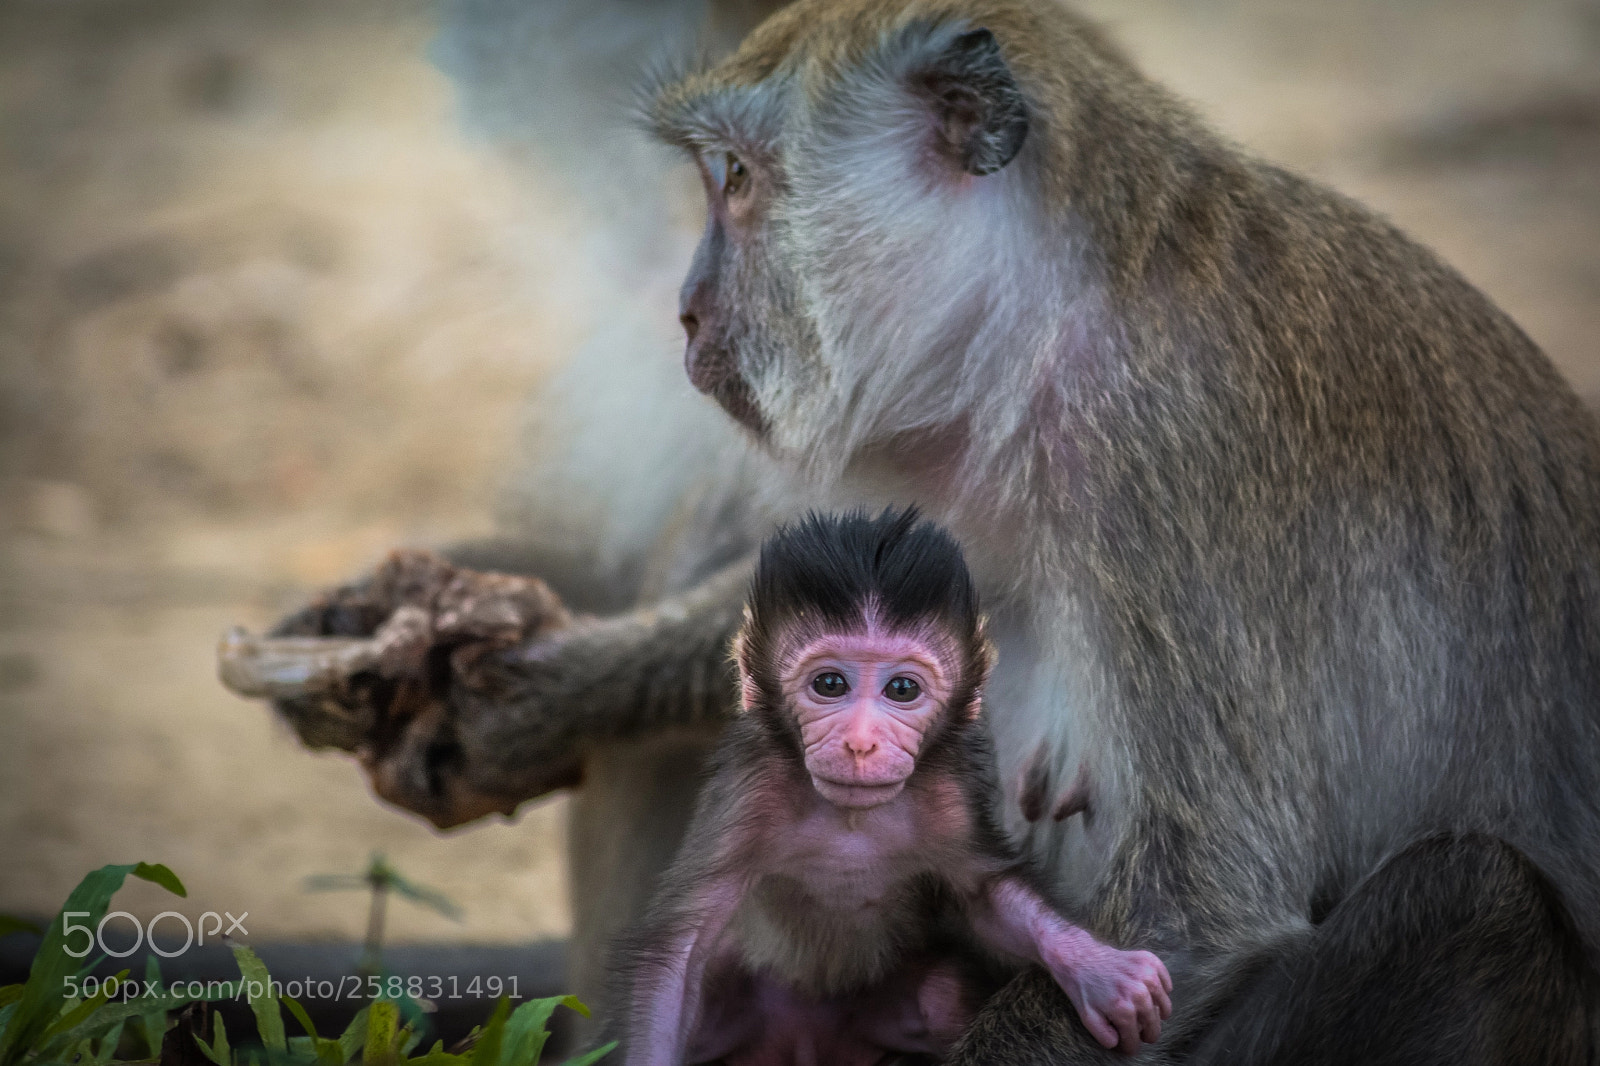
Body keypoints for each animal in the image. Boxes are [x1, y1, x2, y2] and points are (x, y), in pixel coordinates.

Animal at [614, 509, 1171, 1064]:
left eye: (902, 689)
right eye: (829, 685)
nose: (861, 743)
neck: (852, 818)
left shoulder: (949, 799)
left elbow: (986, 897)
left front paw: (1098, 969)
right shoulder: (750, 791)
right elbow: (680, 950)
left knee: (942, 997)